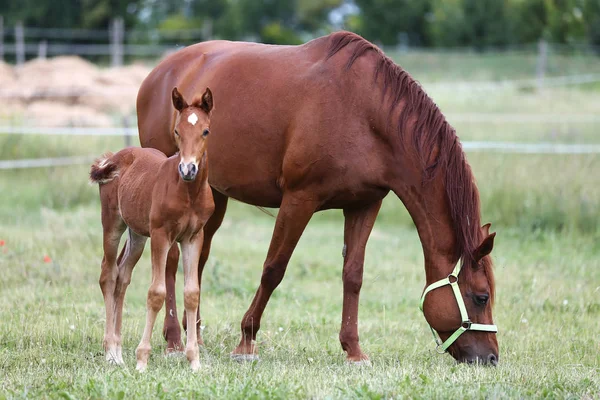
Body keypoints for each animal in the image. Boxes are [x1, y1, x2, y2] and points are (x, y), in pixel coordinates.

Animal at [91, 87, 216, 372]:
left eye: (205, 131)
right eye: (177, 131)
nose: (188, 168)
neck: (188, 192)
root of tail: (113, 157)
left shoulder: (194, 237)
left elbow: (192, 293)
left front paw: (194, 361)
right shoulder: (161, 235)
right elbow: (156, 293)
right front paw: (142, 360)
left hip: (137, 234)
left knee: (122, 276)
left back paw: (118, 351)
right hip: (113, 223)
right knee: (108, 274)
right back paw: (111, 352)